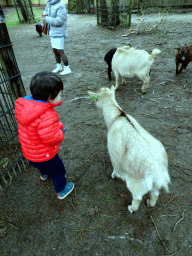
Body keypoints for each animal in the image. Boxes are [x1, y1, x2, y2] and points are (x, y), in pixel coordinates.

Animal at [87, 86, 170, 214]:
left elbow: (115, 168)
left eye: (96, 99)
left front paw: (113, 176)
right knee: (155, 194)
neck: (117, 117)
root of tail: (157, 174)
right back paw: (150, 203)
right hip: (157, 182)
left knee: (138, 197)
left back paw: (131, 208)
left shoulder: (115, 155)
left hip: (137, 183)